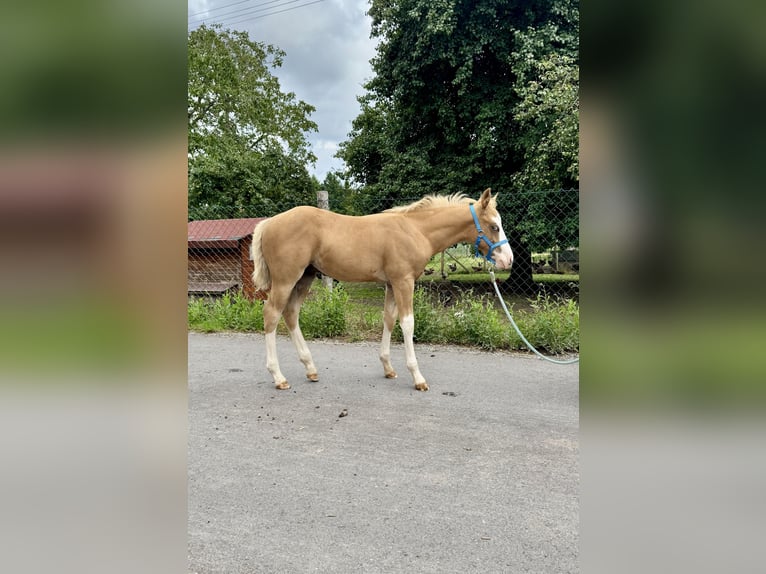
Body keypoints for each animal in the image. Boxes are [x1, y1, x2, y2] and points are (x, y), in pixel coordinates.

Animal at [250, 188, 513, 391]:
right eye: (493, 226)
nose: (508, 260)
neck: (417, 230)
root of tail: (268, 222)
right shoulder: (404, 281)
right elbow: (407, 323)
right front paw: (417, 377)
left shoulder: (391, 283)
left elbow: (389, 318)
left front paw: (388, 367)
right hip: (286, 279)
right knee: (271, 314)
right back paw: (278, 377)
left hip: (305, 277)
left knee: (291, 313)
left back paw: (310, 368)